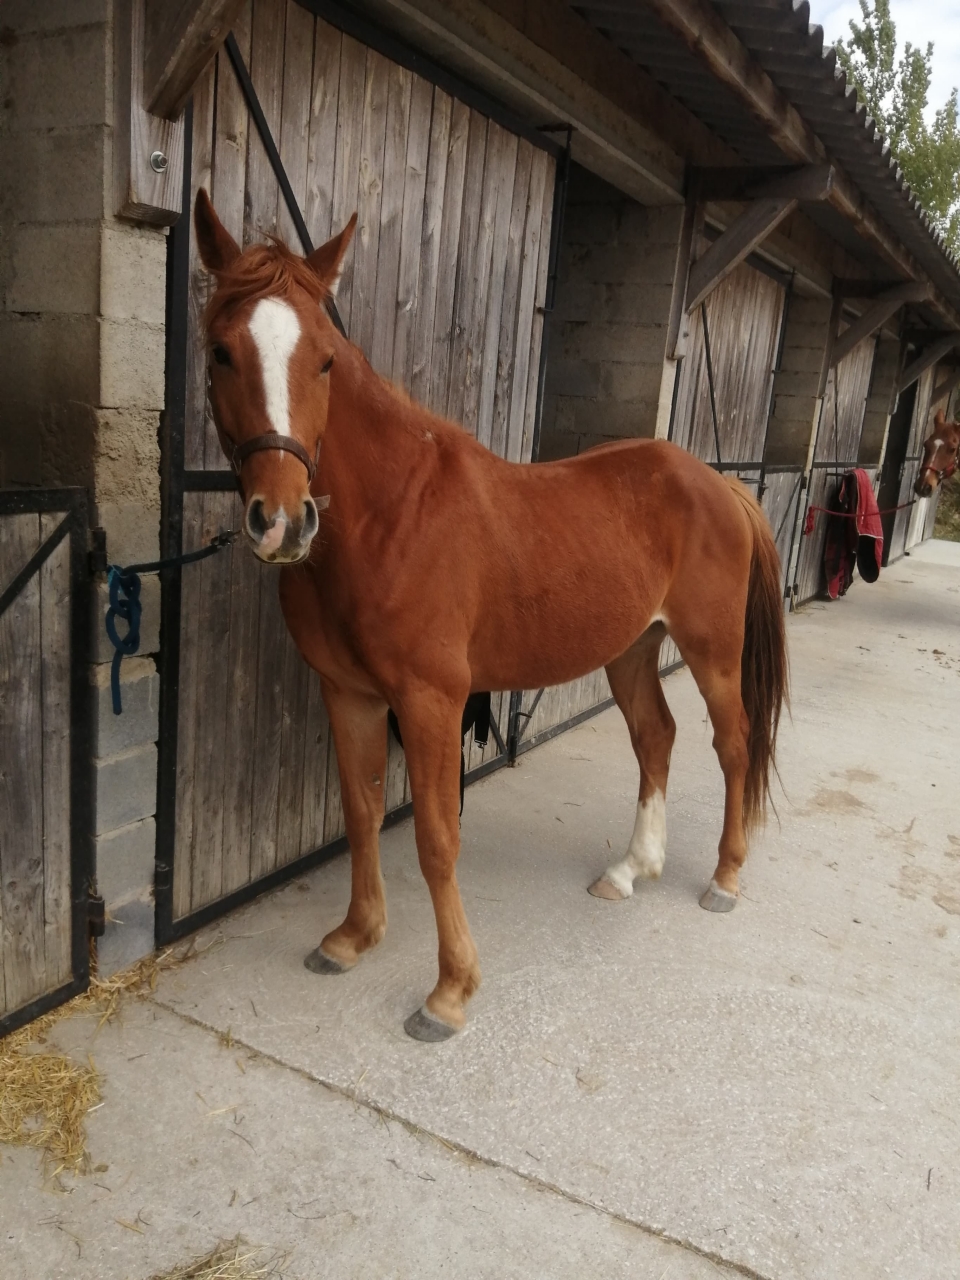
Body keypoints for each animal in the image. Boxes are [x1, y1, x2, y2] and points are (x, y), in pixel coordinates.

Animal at [193, 188, 789, 1042]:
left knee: (734, 745)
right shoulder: (349, 695)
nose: (282, 521)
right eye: (220, 352)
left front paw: (450, 990)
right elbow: (361, 813)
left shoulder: (431, 701)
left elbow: (438, 837)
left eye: (326, 359)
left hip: (711, 650)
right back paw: (629, 869)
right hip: (632, 648)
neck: (390, 519)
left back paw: (725, 877)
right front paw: (353, 937)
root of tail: (720, 483)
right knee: (657, 738)